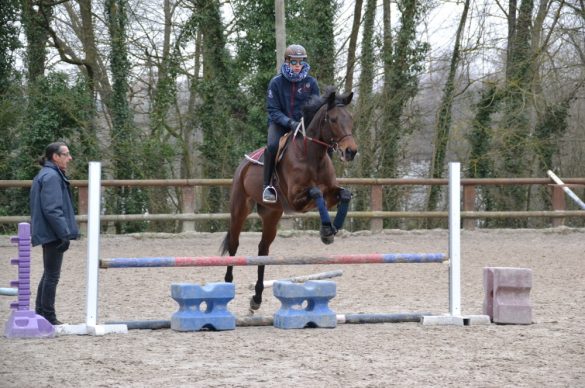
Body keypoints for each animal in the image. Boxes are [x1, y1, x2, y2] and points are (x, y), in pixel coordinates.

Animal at [219, 86, 356, 310]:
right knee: (234, 244)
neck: (312, 155)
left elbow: (344, 194)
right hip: (239, 209)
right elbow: (316, 192)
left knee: (263, 250)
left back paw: (257, 298)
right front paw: (327, 230)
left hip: (272, 215)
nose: (351, 151)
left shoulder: (330, 194)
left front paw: (331, 229)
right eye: (333, 119)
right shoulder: (296, 199)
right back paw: (228, 283)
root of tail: (243, 164)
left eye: (351, 118)